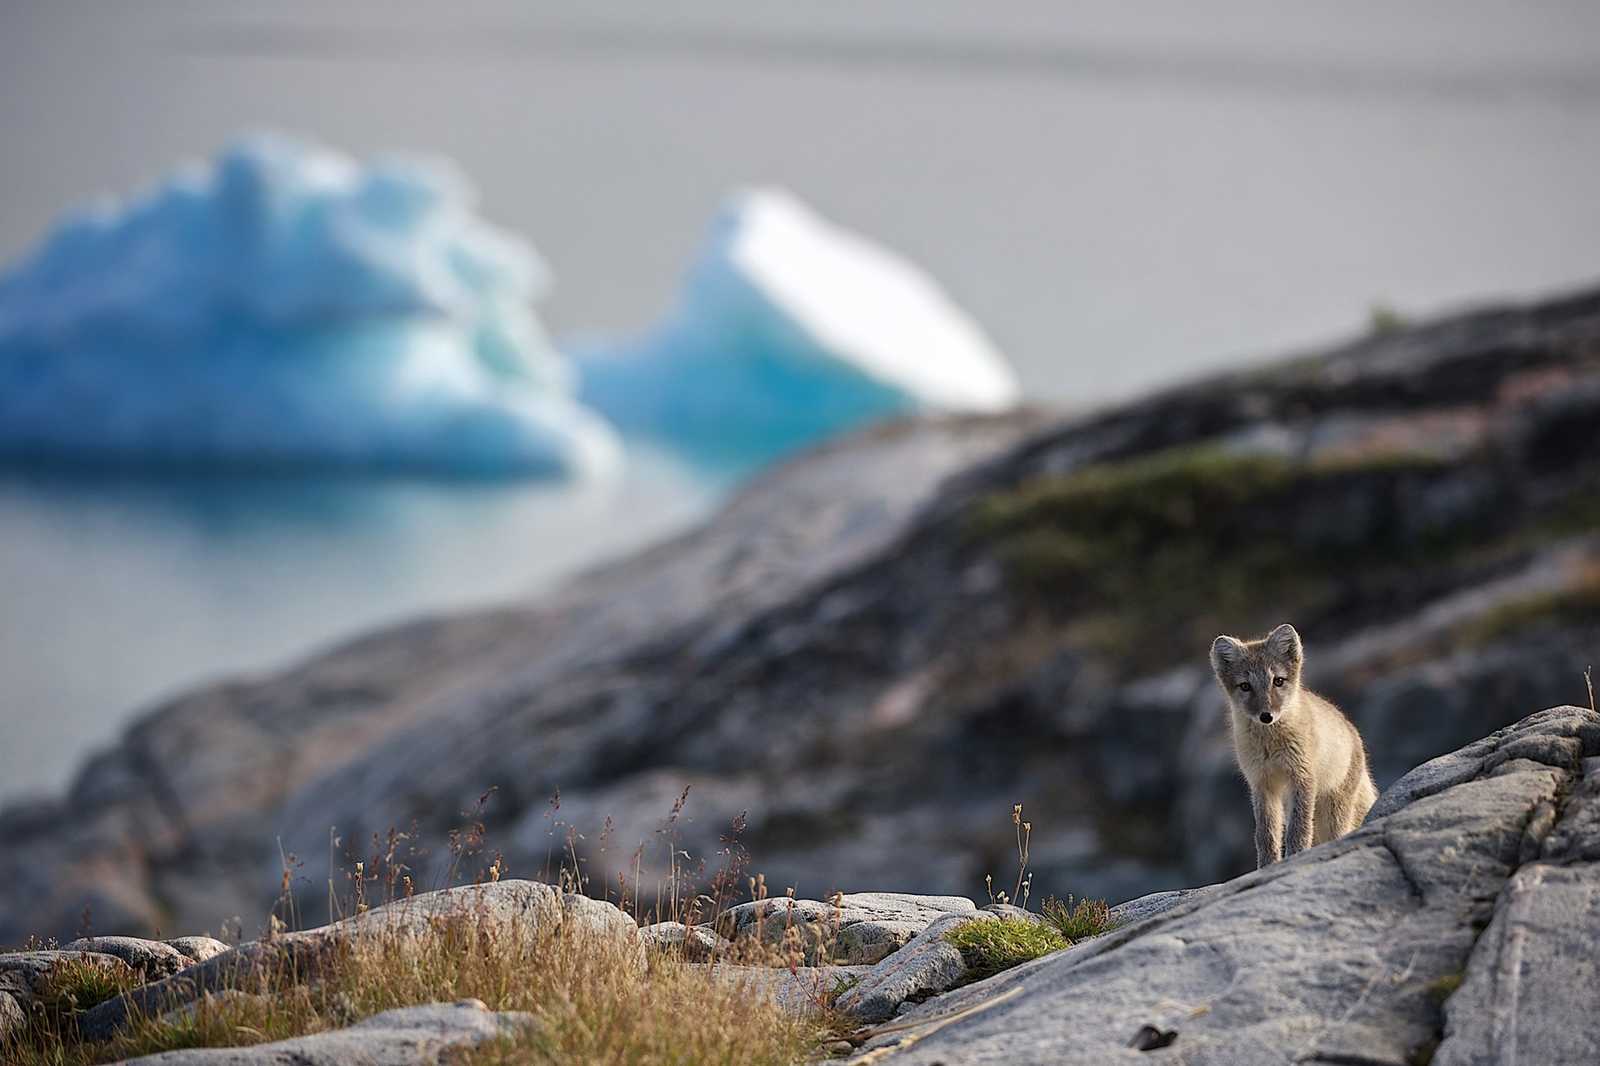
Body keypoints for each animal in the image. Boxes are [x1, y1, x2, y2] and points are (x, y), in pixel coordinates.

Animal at [1209, 623, 1377, 869]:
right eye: (1245, 686)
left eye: (1278, 681)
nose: (1266, 716)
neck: (1270, 746)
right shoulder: (1261, 783)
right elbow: (1266, 834)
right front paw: (1267, 866)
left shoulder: (1302, 777)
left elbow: (1299, 828)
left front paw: (1296, 855)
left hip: (1334, 810)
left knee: (1336, 832)